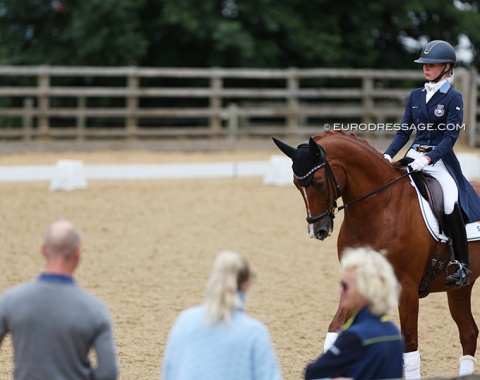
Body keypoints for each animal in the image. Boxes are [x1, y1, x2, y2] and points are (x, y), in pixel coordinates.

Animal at [274, 130, 480, 378]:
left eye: (320, 183)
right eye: (297, 185)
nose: (317, 230)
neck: (380, 208)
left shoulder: (407, 287)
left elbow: (410, 346)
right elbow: (335, 329)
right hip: (460, 288)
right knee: (468, 332)